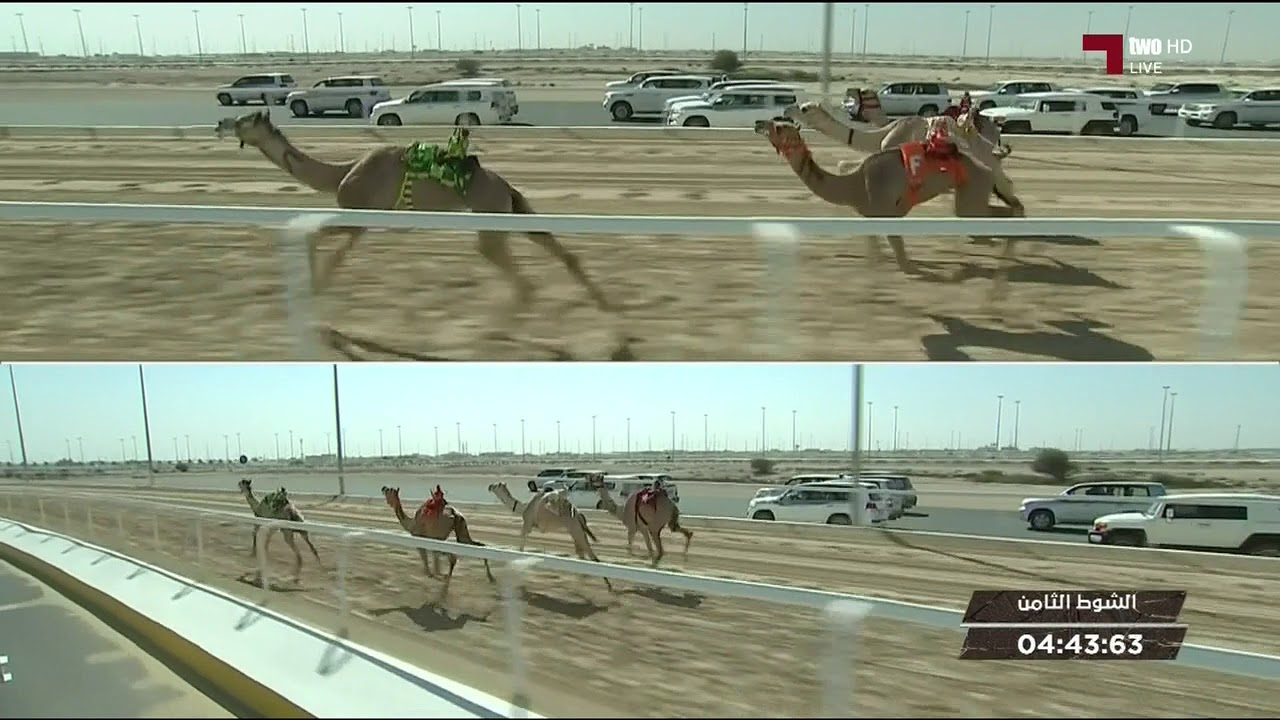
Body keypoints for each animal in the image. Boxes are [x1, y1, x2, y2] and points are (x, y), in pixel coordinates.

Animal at [214, 110, 615, 333]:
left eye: (244, 121)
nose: (221, 123)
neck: (341, 173)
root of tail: (504, 186)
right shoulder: (362, 224)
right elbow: (335, 254)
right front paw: (318, 292)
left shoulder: (358, 215)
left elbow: (321, 244)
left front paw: (315, 294)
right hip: (511, 211)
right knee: (555, 250)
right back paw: (605, 308)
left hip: (489, 218)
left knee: (520, 278)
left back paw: (494, 329)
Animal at [754, 117, 1027, 303]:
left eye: (778, 127)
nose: (759, 123)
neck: (854, 185)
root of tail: (987, 165)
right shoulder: (874, 218)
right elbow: (876, 257)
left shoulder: (886, 213)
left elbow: (907, 266)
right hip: (974, 194)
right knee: (1010, 210)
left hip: (972, 196)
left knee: (1006, 213)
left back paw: (998, 289)